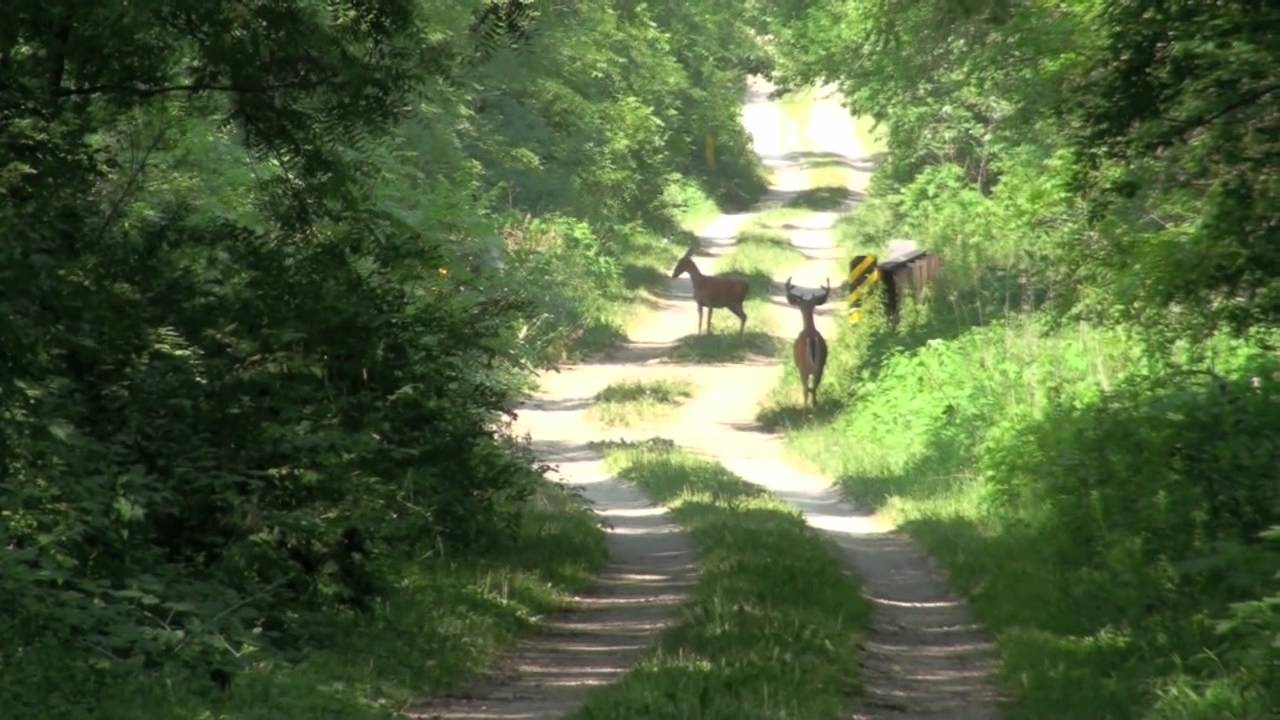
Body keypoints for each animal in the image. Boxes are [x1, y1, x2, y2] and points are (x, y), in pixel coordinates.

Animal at [783, 275, 834, 407]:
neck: (809, 328)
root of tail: (811, 338)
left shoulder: (799, 366)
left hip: (803, 368)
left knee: (806, 389)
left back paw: (805, 410)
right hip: (820, 366)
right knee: (814, 389)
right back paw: (815, 408)